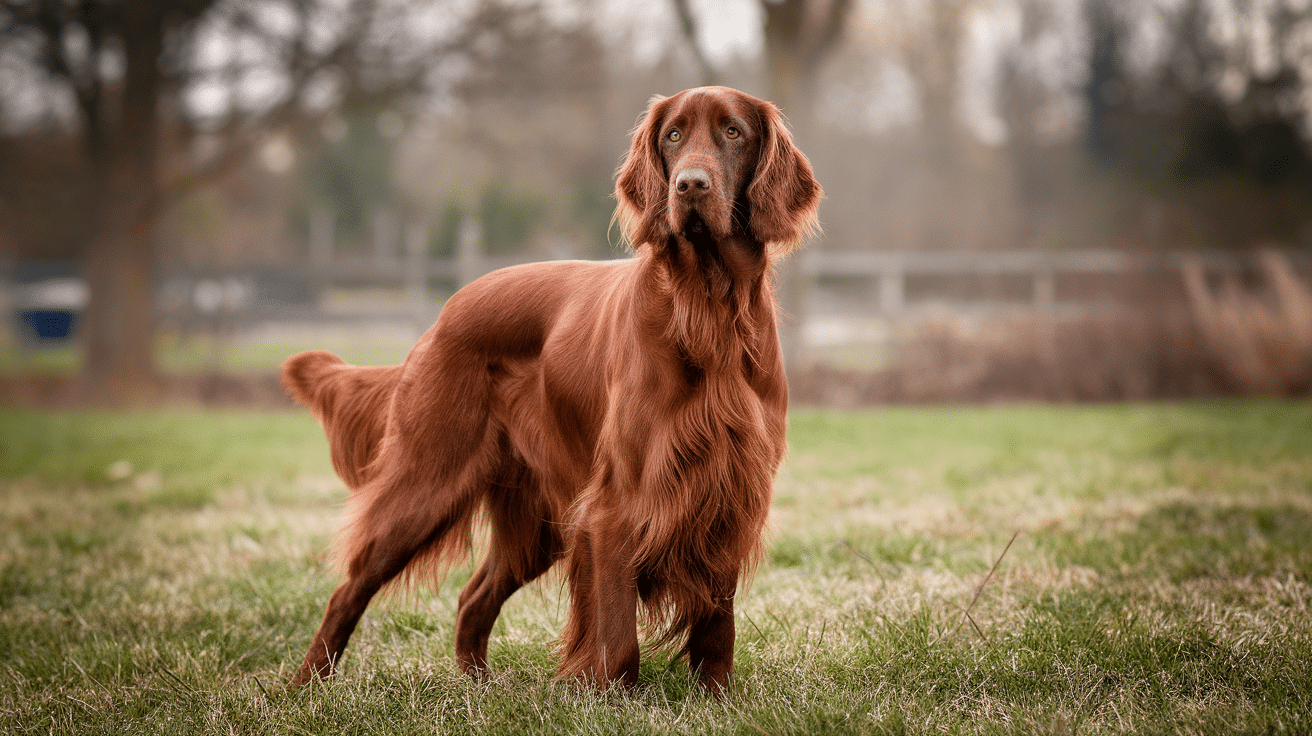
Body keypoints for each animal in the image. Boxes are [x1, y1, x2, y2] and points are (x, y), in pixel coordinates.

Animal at [284, 85, 818, 687]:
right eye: (673, 136)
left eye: (733, 132)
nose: (690, 184)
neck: (706, 312)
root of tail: (442, 317)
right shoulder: (616, 506)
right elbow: (618, 639)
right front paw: (611, 697)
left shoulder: (729, 488)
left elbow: (716, 630)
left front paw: (716, 697)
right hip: (427, 480)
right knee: (349, 589)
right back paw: (307, 684)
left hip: (538, 522)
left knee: (472, 597)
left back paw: (477, 687)